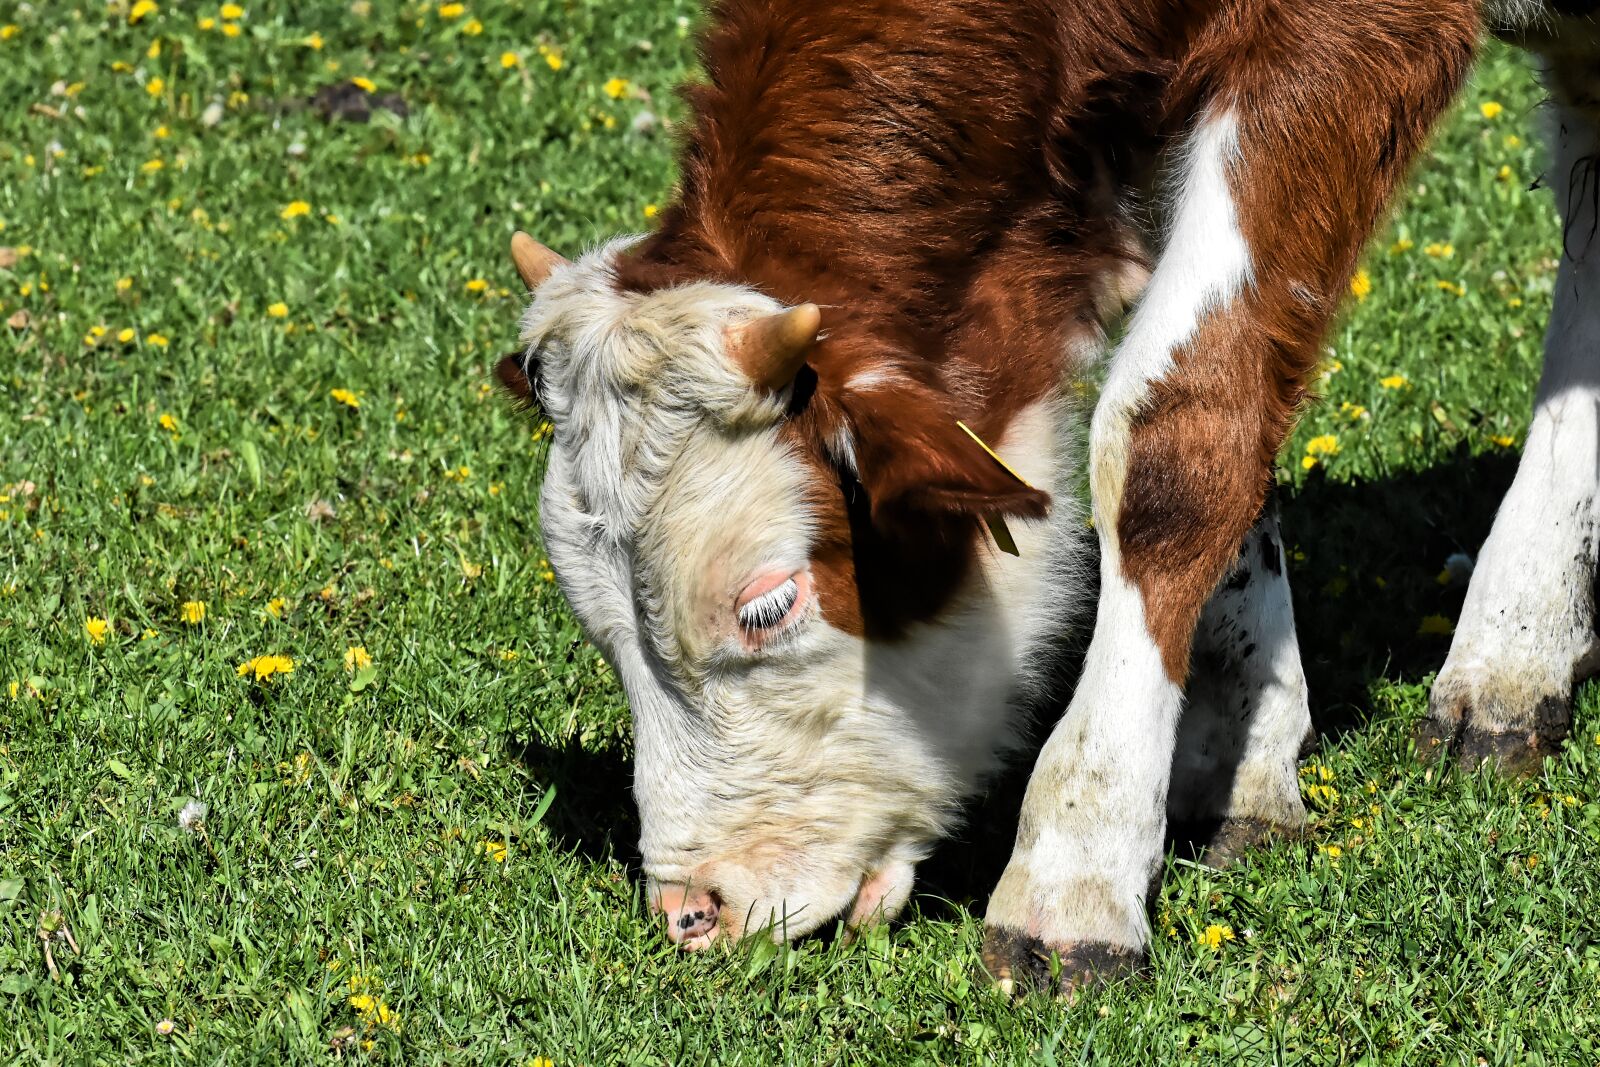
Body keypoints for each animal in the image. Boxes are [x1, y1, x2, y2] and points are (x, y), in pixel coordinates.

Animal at [498, 0, 1600, 995]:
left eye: (767, 603)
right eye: (595, 621)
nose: (694, 909)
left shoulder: (1350, 43)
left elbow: (1175, 428)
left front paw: (1078, 868)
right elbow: (1235, 399)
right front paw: (1238, 742)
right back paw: (1519, 657)